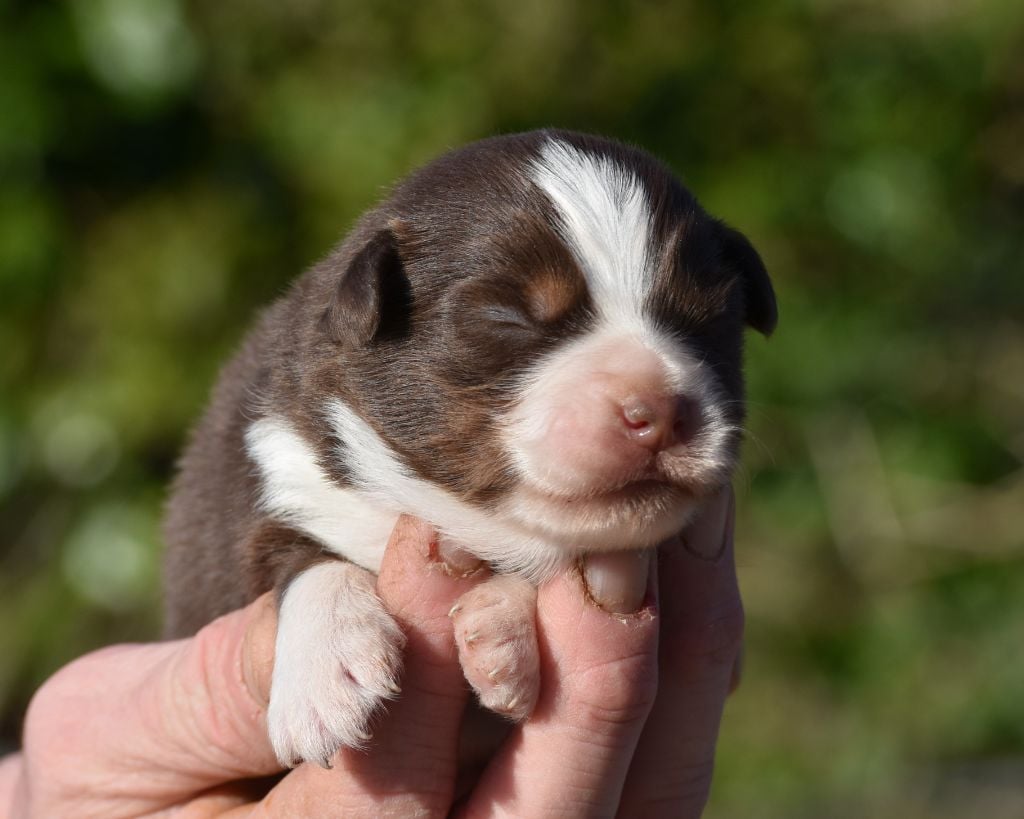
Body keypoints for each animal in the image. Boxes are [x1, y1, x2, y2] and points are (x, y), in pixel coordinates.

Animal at [163, 129, 778, 769]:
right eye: (505, 317)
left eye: (706, 317)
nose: (658, 413)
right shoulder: (274, 469)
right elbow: (302, 558)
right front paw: (326, 674)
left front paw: (502, 633)